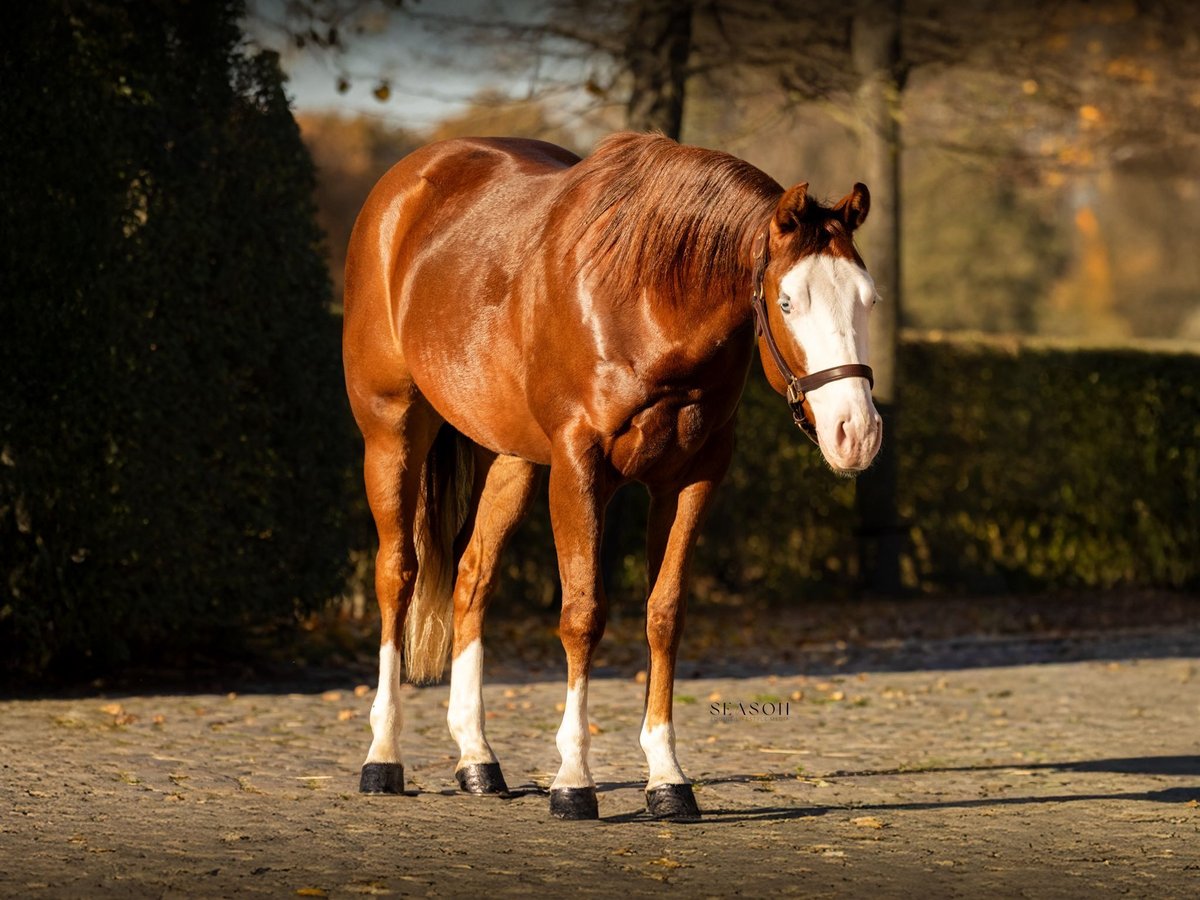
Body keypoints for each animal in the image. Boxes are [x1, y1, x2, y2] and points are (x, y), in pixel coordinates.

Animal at [342, 131, 882, 821]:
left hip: (511, 459)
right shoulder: (579, 468)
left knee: (472, 580)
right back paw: (382, 755)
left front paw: (667, 777)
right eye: (788, 301)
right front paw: (573, 779)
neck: (645, 302)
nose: (855, 432)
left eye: (869, 299)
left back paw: (477, 759)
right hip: (391, 432)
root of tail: (405, 185)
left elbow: (664, 615)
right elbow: (583, 614)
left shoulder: (693, 478)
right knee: (397, 575)